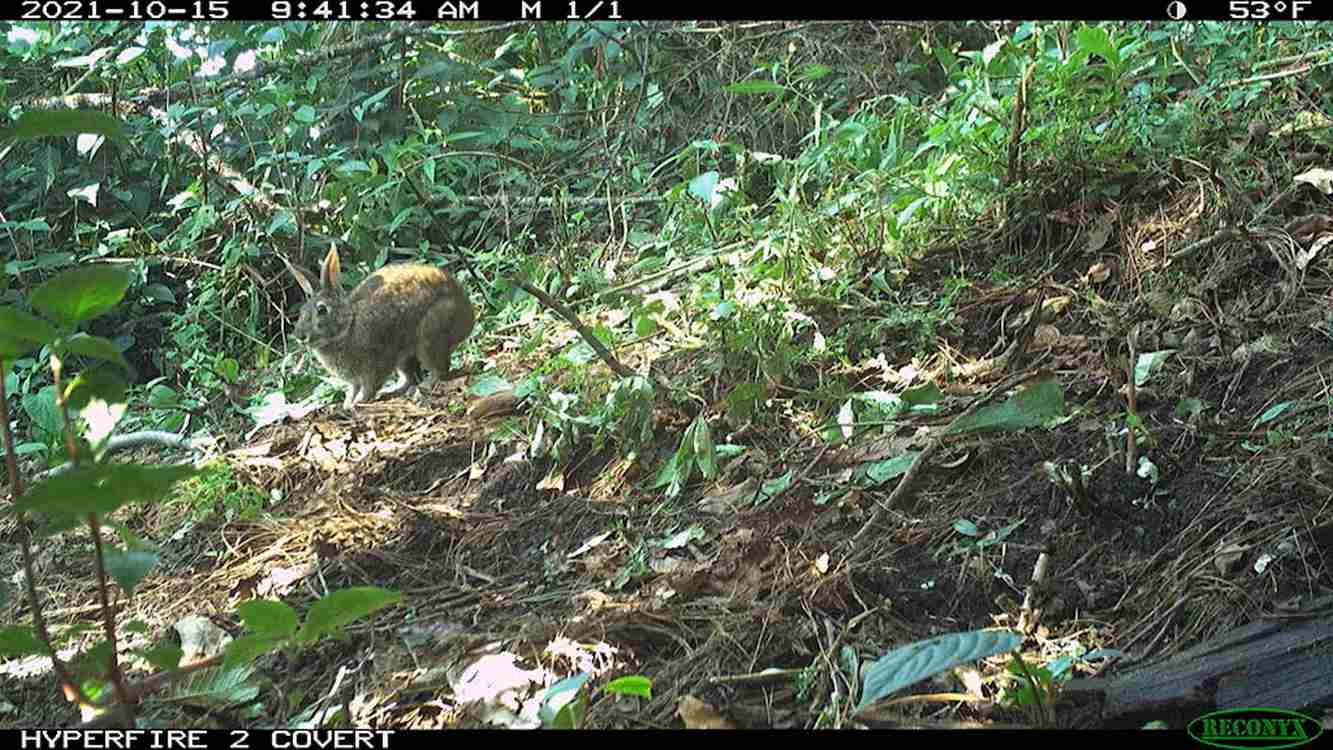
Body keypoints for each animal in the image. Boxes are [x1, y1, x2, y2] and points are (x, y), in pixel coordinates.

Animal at [286, 245, 475, 409]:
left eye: (322, 310)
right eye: (302, 311)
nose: (299, 336)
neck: (348, 326)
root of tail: (468, 317)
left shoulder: (374, 365)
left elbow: (369, 387)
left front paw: (358, 402)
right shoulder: (355, 379)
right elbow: (352, 389)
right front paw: (347, 403)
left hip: (430, 335)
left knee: (439, 369)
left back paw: (424, 386)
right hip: (405, 357)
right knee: (410, 377)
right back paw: (393, 390)